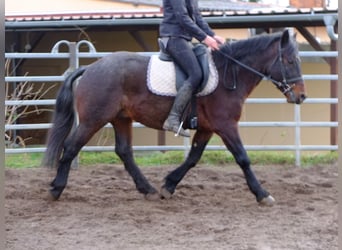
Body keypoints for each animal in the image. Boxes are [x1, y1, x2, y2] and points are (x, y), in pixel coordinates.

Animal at [43, 29, 308, 206]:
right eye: (290, 61)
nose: (301, 96)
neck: (228, 74)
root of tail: (90, 68)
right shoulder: (226, 125)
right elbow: (243, 159)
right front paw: (262, 194)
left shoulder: (207, 128)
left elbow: (193, 158)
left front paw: (168, 185)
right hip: (93, 119)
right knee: (71, 147)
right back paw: (56, 189)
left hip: (121, 118)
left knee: (124, 152)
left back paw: (147, 189)